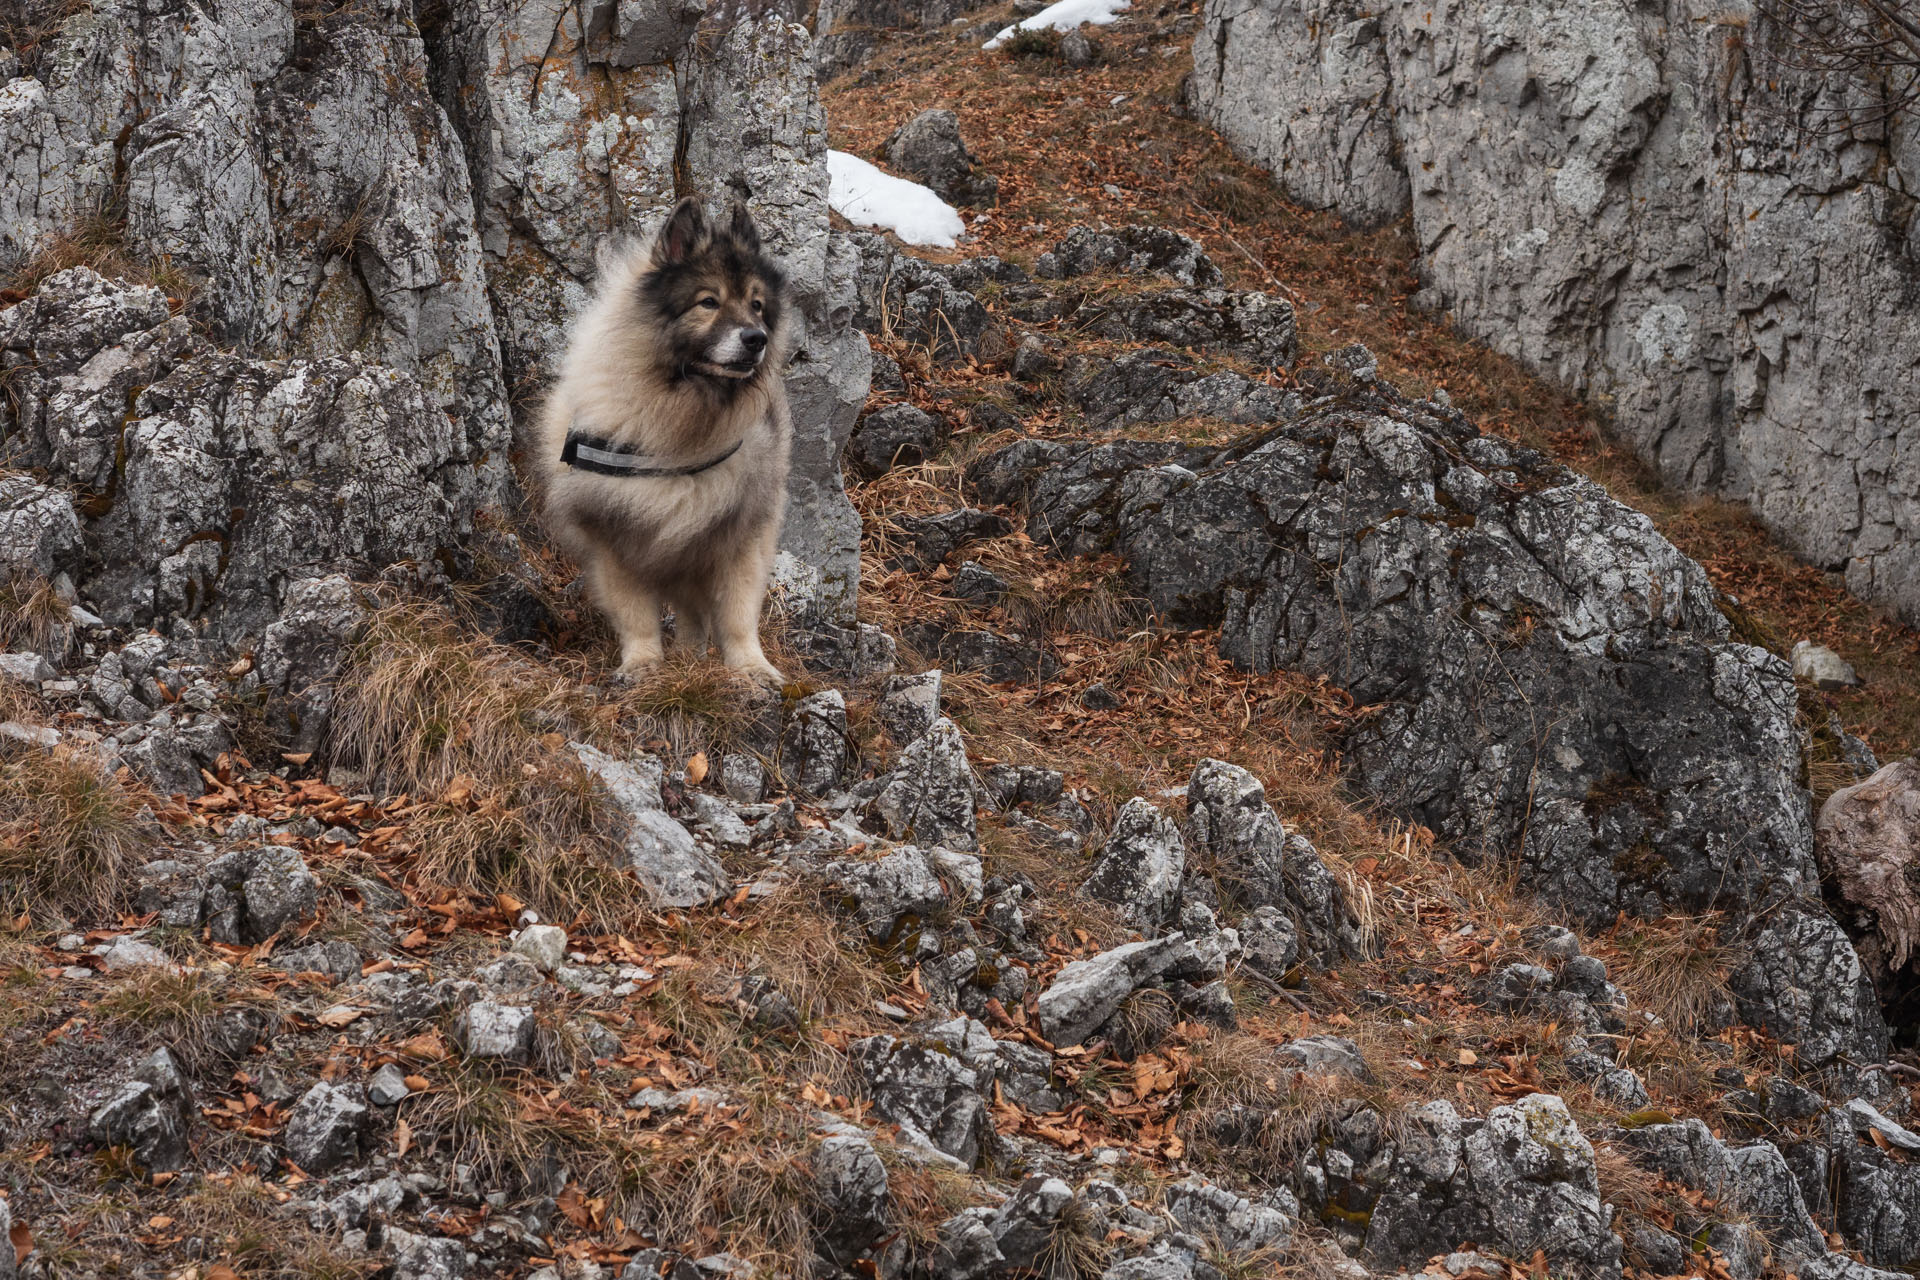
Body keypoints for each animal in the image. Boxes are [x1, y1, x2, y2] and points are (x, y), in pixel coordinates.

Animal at [537, 196, 791, 687]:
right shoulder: (616, 538)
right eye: (708, 302)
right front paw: (642, 664)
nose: (757, 339)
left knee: (695, 614)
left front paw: (752, 668)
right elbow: (635, 613)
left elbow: (737, 613)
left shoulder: (740, 535)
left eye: (756, 306)